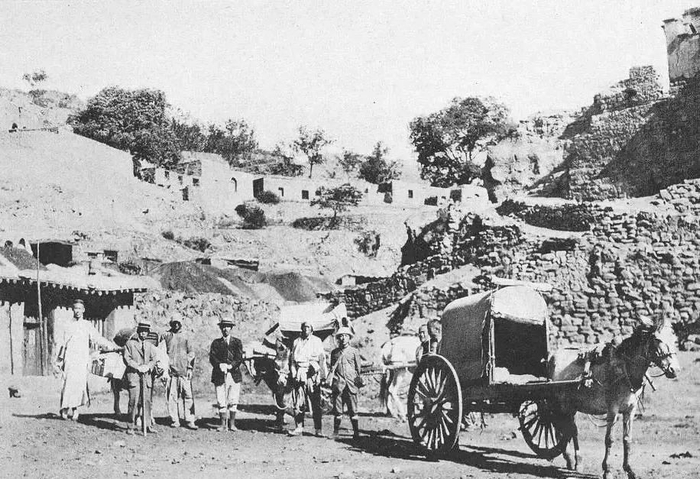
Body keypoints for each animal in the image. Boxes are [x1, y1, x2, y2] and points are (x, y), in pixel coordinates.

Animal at [548, 315, 681, 479]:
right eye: (657, 339)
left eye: (674, 339)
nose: (674, 370)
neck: (625, 369)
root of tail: (553, 355)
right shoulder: (613, 410)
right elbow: (609, 440)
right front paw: (608, 470)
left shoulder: (630, 410)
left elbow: (627, 439)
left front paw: (629, 470)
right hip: (560, 404)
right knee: (558, 427)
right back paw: (568, 458)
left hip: (571, 406)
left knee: (571, 429)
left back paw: (577, 461)